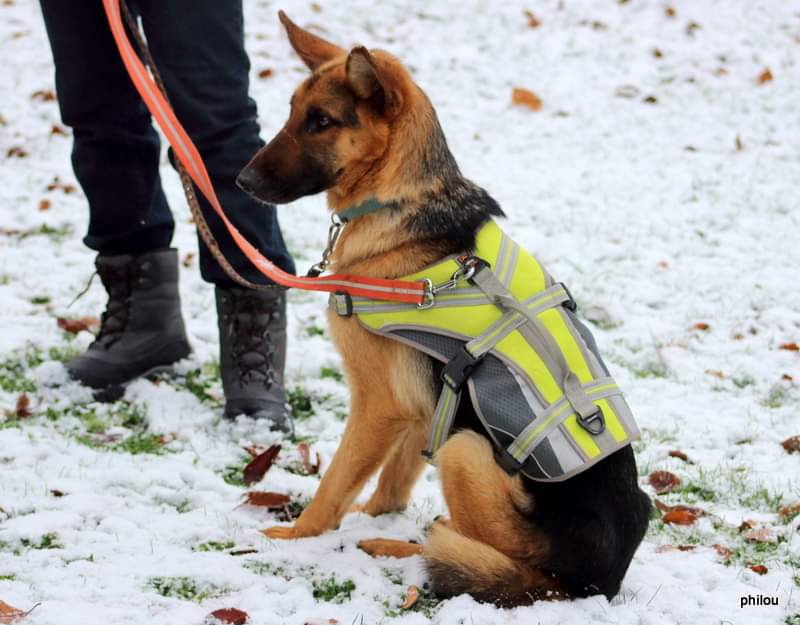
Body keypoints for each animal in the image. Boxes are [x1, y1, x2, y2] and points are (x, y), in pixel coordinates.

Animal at [238, 9, 648, 604]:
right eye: (293, 111)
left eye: (322, 121)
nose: (241, 181)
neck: (401, 202)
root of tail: (599, 583)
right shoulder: (422, 406)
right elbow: (391, 488)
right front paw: (374, 518)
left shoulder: (378, 405)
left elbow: (336, 483)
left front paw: (296, 536)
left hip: (465, 451)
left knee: (503, 567)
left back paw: (405, 549)